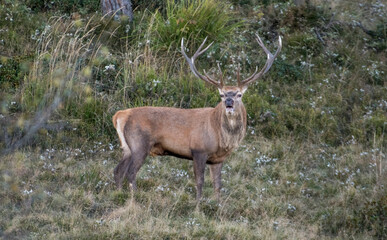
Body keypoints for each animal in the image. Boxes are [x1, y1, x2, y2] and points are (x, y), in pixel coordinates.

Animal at [112, 34, 282, 201]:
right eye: (221, 94)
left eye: (239, 94)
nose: (228, 102)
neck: (220, 136)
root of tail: (120, 115)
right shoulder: (198, 150)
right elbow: (200, 181)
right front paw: (198, 204)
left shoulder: (218, 159)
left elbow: (217, 184)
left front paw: (218, 204)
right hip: (139, 144)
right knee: (131, 172)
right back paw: (134, 198)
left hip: (127, 147)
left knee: (118, 170)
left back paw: (119, 194)